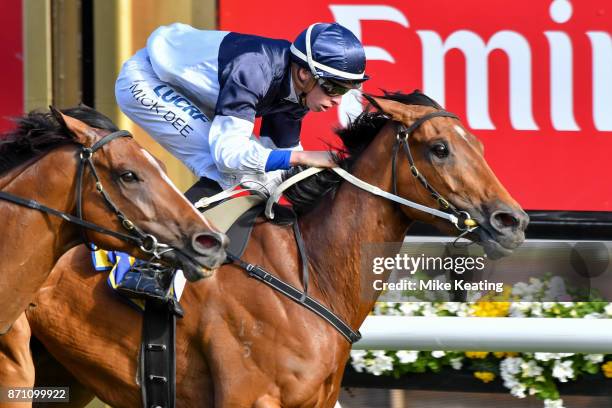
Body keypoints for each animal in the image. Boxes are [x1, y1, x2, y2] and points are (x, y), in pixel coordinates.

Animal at [26, 92, 528, 408]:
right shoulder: (249, 398)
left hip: (61, 374)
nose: (513, 221)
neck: (310, 272)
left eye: (479, 145)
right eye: (440, 148)